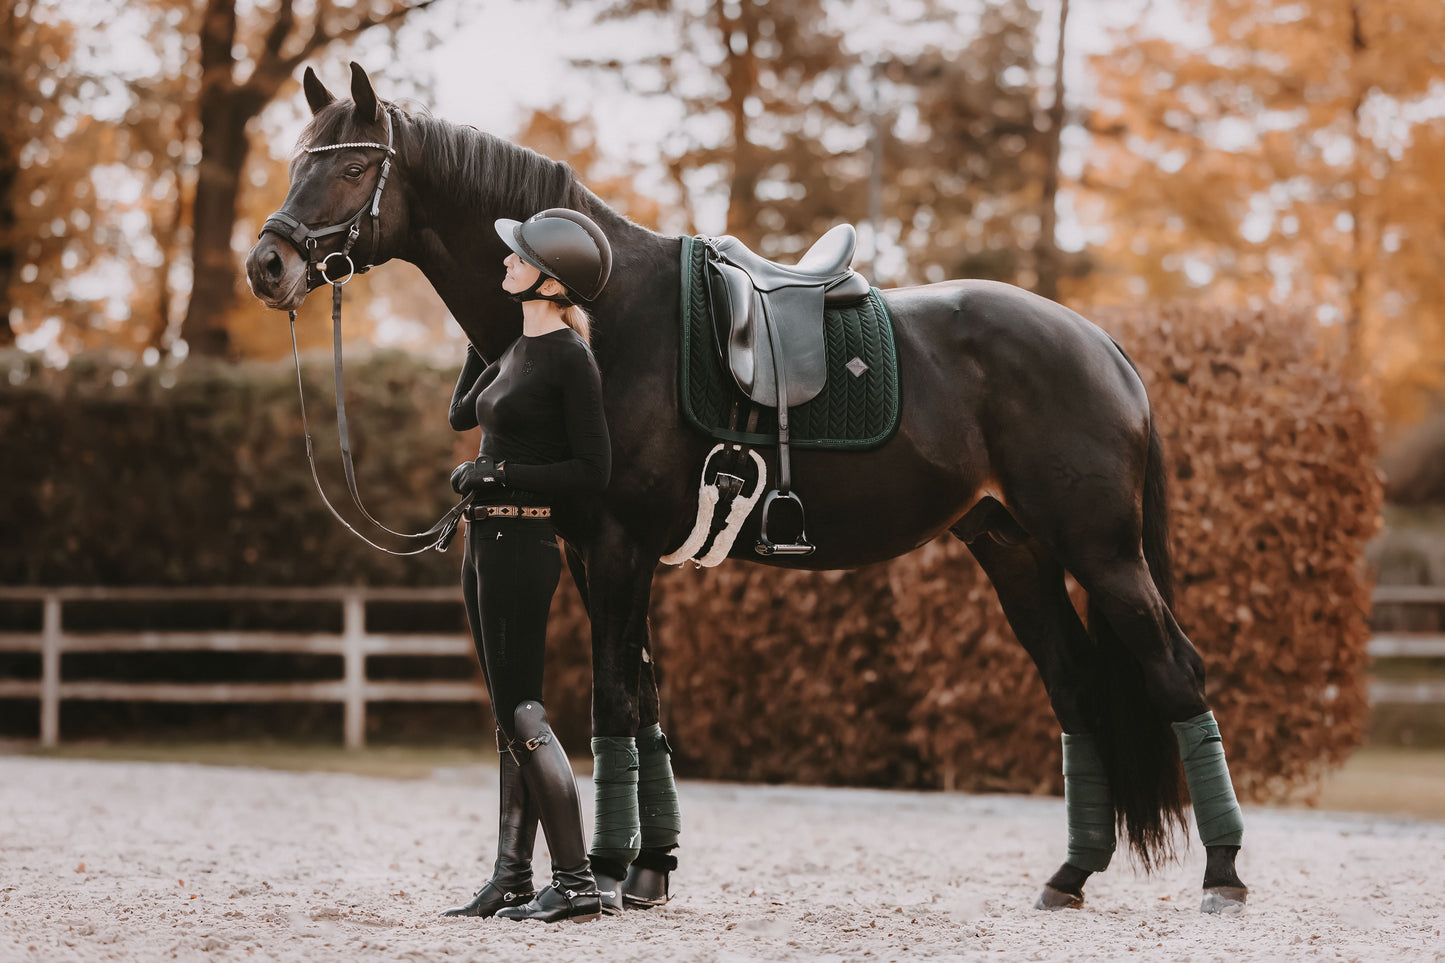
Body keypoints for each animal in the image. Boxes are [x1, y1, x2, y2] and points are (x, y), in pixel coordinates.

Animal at [242, 63, 1248, 913]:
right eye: (296, 161)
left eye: (351, 168)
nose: (267, 265)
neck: (607, 315)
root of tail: (1100, 342)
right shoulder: (599, 551)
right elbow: (646, 705)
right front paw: (647, 870)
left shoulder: (617, 546)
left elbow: (612, 705)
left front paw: (602, 875)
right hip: (1016, 551)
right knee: (1075, 689)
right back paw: (1069, 875)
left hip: (1101, 552)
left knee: (1175, 672)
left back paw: (1223, 876)